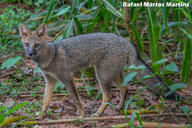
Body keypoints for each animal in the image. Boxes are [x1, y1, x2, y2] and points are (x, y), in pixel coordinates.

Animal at [19, 23, 182, 117]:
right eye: (26, 44)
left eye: (37, 45)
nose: (29, 54)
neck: (49, 56)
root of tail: (127, 42)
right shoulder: (50, 81)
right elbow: (45, 100)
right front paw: (41, 114)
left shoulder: (67, 78)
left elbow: (76, 99)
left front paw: (81, 115)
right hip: (111, 74)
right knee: (125, 88)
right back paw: (119, 108)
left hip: (101, 76)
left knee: (108, 95)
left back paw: (98, 113)